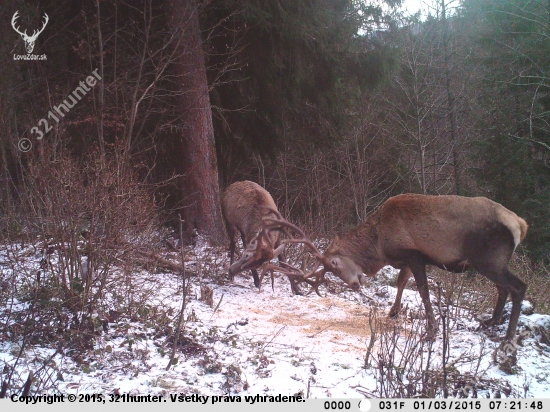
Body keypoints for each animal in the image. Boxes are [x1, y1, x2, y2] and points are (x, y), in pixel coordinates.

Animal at [264, 195, 532, 342]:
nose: (354, 284)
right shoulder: (405, 260)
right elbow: (402, 282)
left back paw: (508, 335)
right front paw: (393, 311)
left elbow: (423, 291)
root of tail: (521, 225)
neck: (380, 244)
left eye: (334, 264)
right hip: (491, 262)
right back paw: (492, 322)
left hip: (489, 259)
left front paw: (432, 330)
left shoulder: (415, 255)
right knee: (503, 289)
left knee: (519, 286)